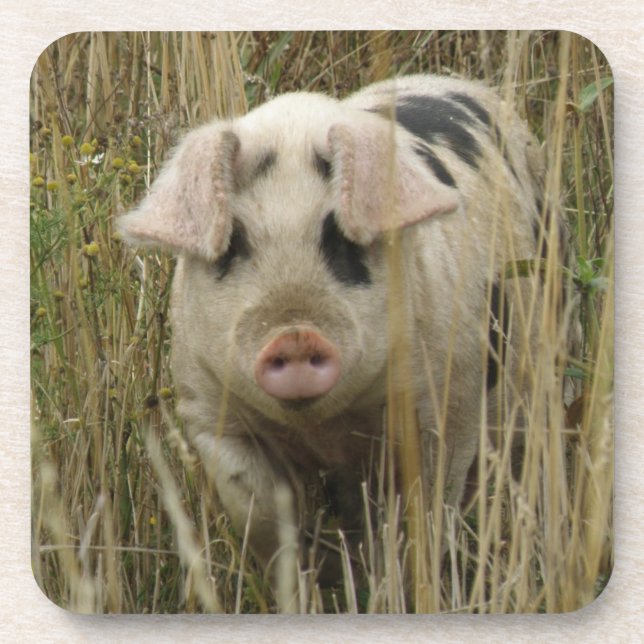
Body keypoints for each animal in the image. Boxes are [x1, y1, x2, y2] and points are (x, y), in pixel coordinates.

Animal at [118, 74, 548, 588]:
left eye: (341, 237)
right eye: (234, 243)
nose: (295, 336)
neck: (325, 429)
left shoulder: (448, 404)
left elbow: (423, 512)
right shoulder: (209, 410)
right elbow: (258, 511)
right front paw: (310, 578)